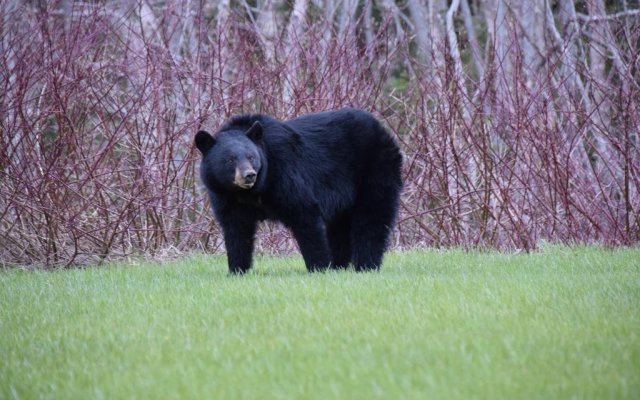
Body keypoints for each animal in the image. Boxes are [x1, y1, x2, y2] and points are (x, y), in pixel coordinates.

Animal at [198, 108, 402, 274]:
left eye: (251, 157)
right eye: (230, 160)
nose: (249, 175)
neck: (249, 192)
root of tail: (382, 128)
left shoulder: (285, 172)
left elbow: (305, 214)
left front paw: (320, 268)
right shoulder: (226, 197)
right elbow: (236, 230)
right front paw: (236, 270)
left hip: (375, 169)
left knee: (371, 218)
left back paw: (365, 265)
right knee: (339, 227)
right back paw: (340, 265)